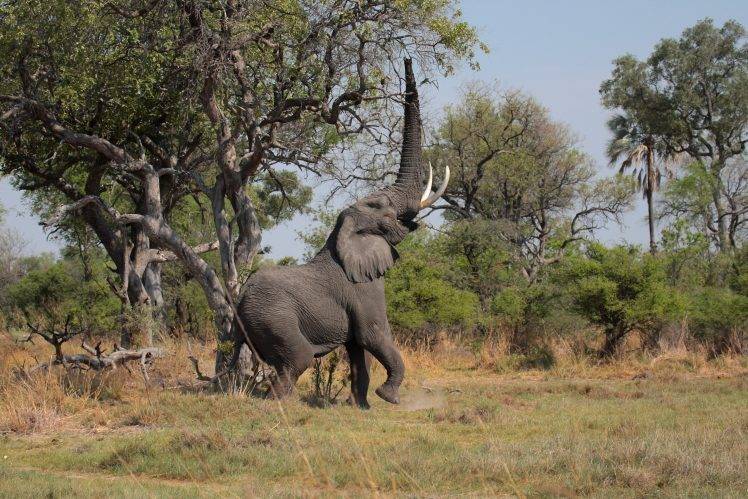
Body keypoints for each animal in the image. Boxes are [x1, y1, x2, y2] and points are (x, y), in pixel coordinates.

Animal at [233, 58, 449, 409]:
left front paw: (361, 407)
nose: (406, 59)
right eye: (381, 207)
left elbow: (358, 352)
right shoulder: (363, 289)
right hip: (274, 319)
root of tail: (238, 301)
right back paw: (283, 405)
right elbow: (373, 336)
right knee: (298, 360)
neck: (344, 234)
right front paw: (388, 397)